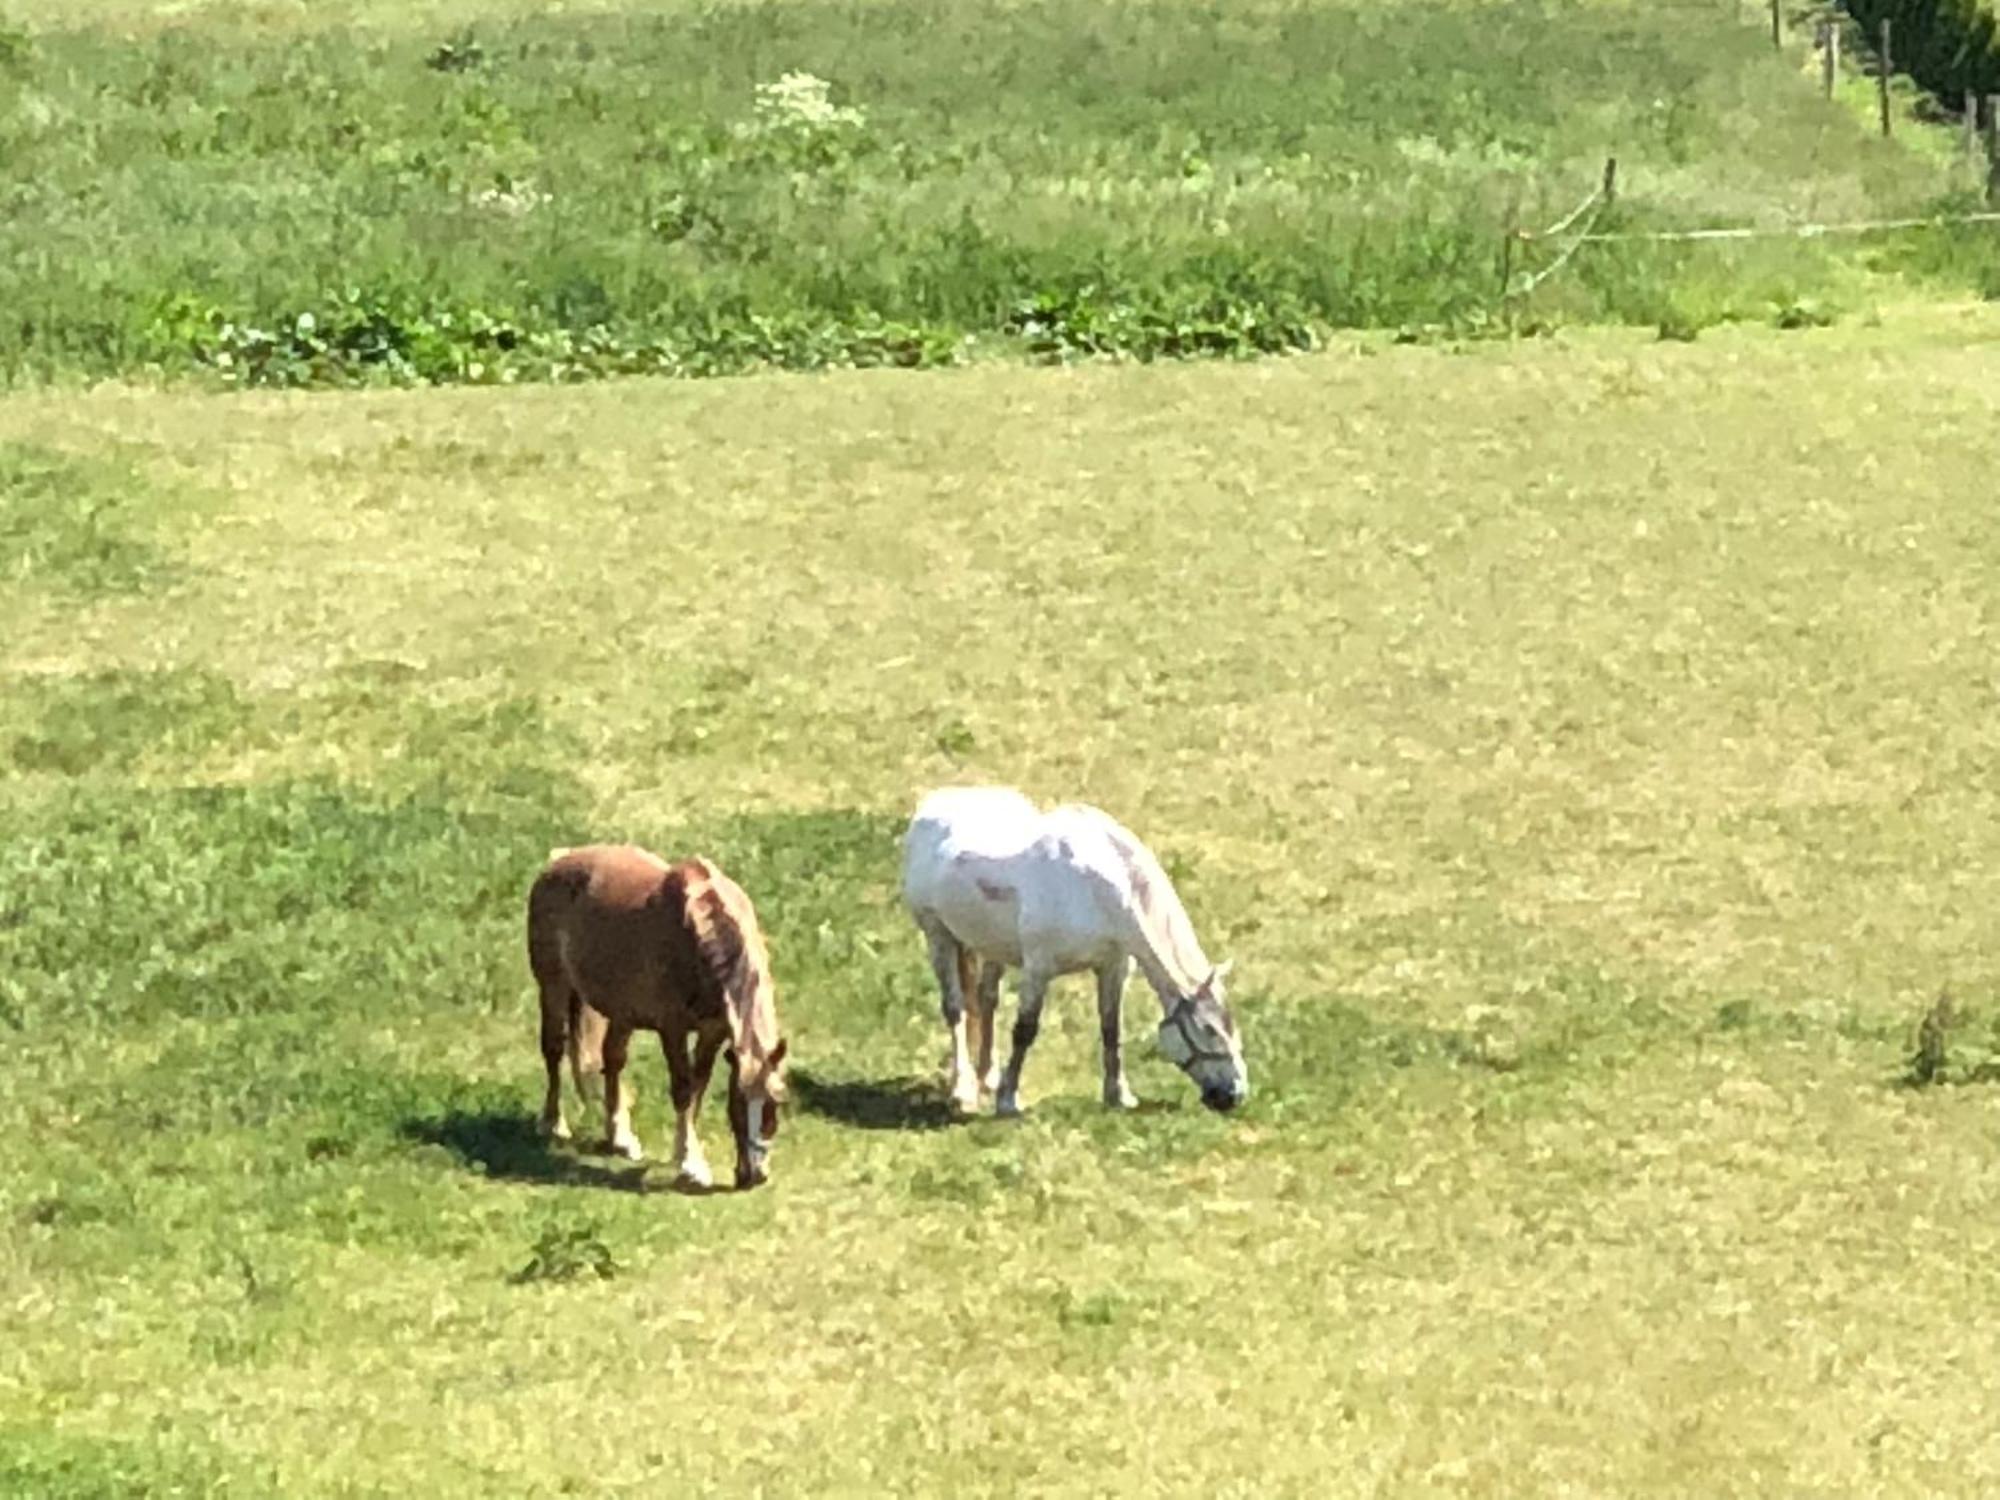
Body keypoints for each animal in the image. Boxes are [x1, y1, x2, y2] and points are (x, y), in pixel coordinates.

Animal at [524, 852, 788, 1192]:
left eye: (774, 1104)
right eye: (740, 1105)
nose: (755, 1175)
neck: (698, 937)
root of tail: (557, 864)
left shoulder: (712, 1031)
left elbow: (698, 1087)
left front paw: (685, 1152)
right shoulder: (672, 1029)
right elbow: (683, 1089)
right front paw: (690, 1164)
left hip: (621, 1011)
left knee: (612, 1059)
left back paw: (620, 1138)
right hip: (553, 986)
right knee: (554, 1049)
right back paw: (554, 1123)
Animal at [908, 788, 1248, 1120]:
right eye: (1208, 1030)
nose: (1234, 1095)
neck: (1098, 891)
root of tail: (935, 803)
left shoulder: (1113, 968)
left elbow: (1111, 1028)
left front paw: (1118, 1095)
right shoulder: (1038, 969)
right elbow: (1024, 1030)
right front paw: (1008, 1101)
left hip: (991, 947)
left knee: (986, 1000)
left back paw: (987, 1077)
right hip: (938, 935)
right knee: (955, 1009)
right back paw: (962, 1089)